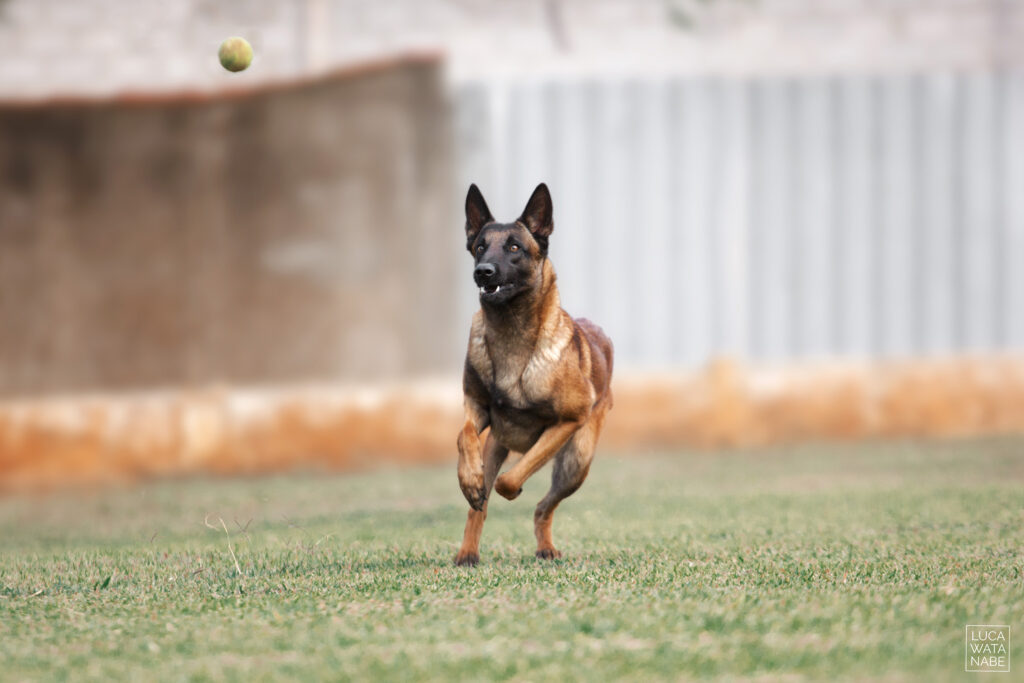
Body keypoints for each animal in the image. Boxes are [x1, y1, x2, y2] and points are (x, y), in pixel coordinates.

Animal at [454, 181, 610, 565]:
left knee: (543, 506)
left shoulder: (568, 421)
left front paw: (511, 486)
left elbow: (509, 481)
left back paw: (546, 547)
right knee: (478, 509)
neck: (510, 335)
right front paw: (470, 481)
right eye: (480, 247)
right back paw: (468, 551)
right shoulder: (477, 408)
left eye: (514, 247)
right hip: (499, 446)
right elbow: (464, 436)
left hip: (575, 464)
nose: (483, 271)